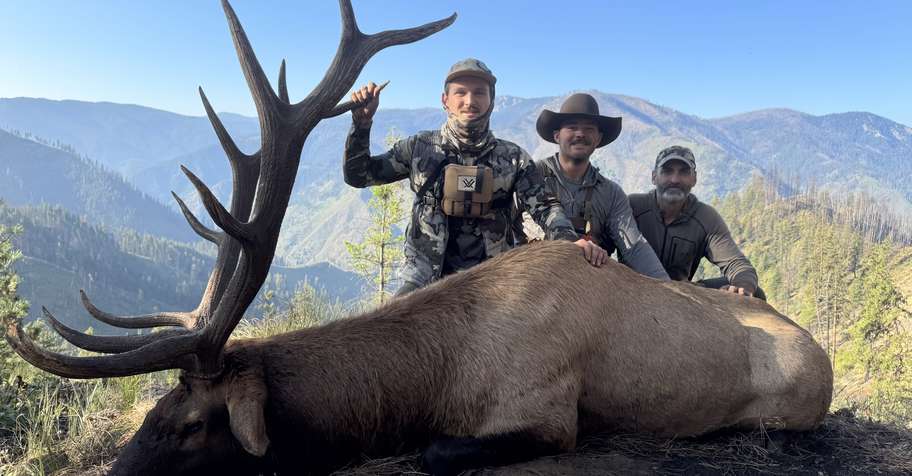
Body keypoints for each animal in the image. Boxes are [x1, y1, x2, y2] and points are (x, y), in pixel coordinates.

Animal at [3, 1, 834, 475]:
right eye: (153, 410)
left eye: (189, 423)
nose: (115, 474)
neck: (436, 375)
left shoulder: (548, 414)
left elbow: (436, 452)